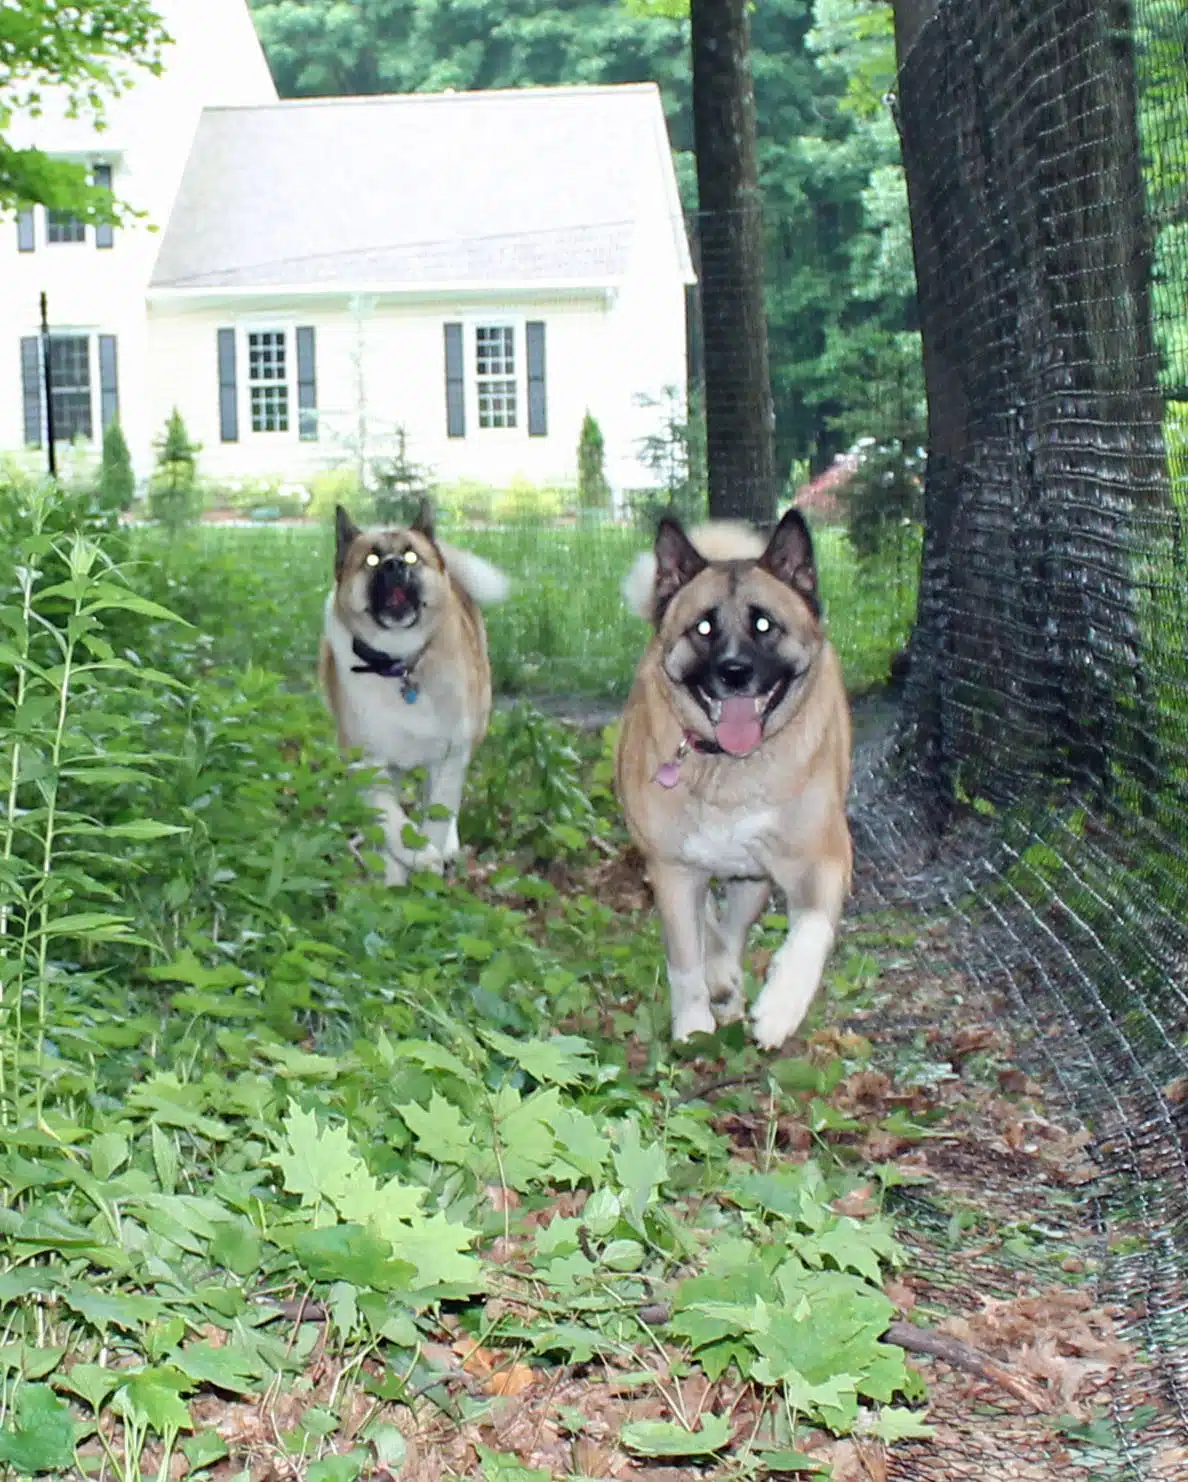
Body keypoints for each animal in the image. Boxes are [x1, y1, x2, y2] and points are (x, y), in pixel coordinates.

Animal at [319, 503, 509, 883]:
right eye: (372, 560)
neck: (400, 664)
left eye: (410, 555)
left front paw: (431, 855)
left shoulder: (451, 753)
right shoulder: (368, 763)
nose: (394, 565)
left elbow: (438, 813)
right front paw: (405, 866)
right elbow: (389, 822)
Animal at [610, 509, 853, 1055]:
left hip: (754, 878)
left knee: (732, 929)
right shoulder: (673, 868)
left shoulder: (822, 860)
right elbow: (685, 961)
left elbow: (809, 936)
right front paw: (693, 1026)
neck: (729, 766)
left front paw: (779, 1009)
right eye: (703, 627)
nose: (734, 672)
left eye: (764, 624)